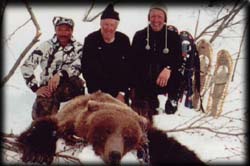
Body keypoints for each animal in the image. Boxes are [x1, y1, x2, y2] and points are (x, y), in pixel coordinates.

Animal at [17, 91, 205, 165]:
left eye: (128, 136)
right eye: (105, 131)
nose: (114, 154)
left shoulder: (149, 138)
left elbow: (171, 148)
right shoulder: (66, 119)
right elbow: (44, 126)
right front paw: (38, 154)